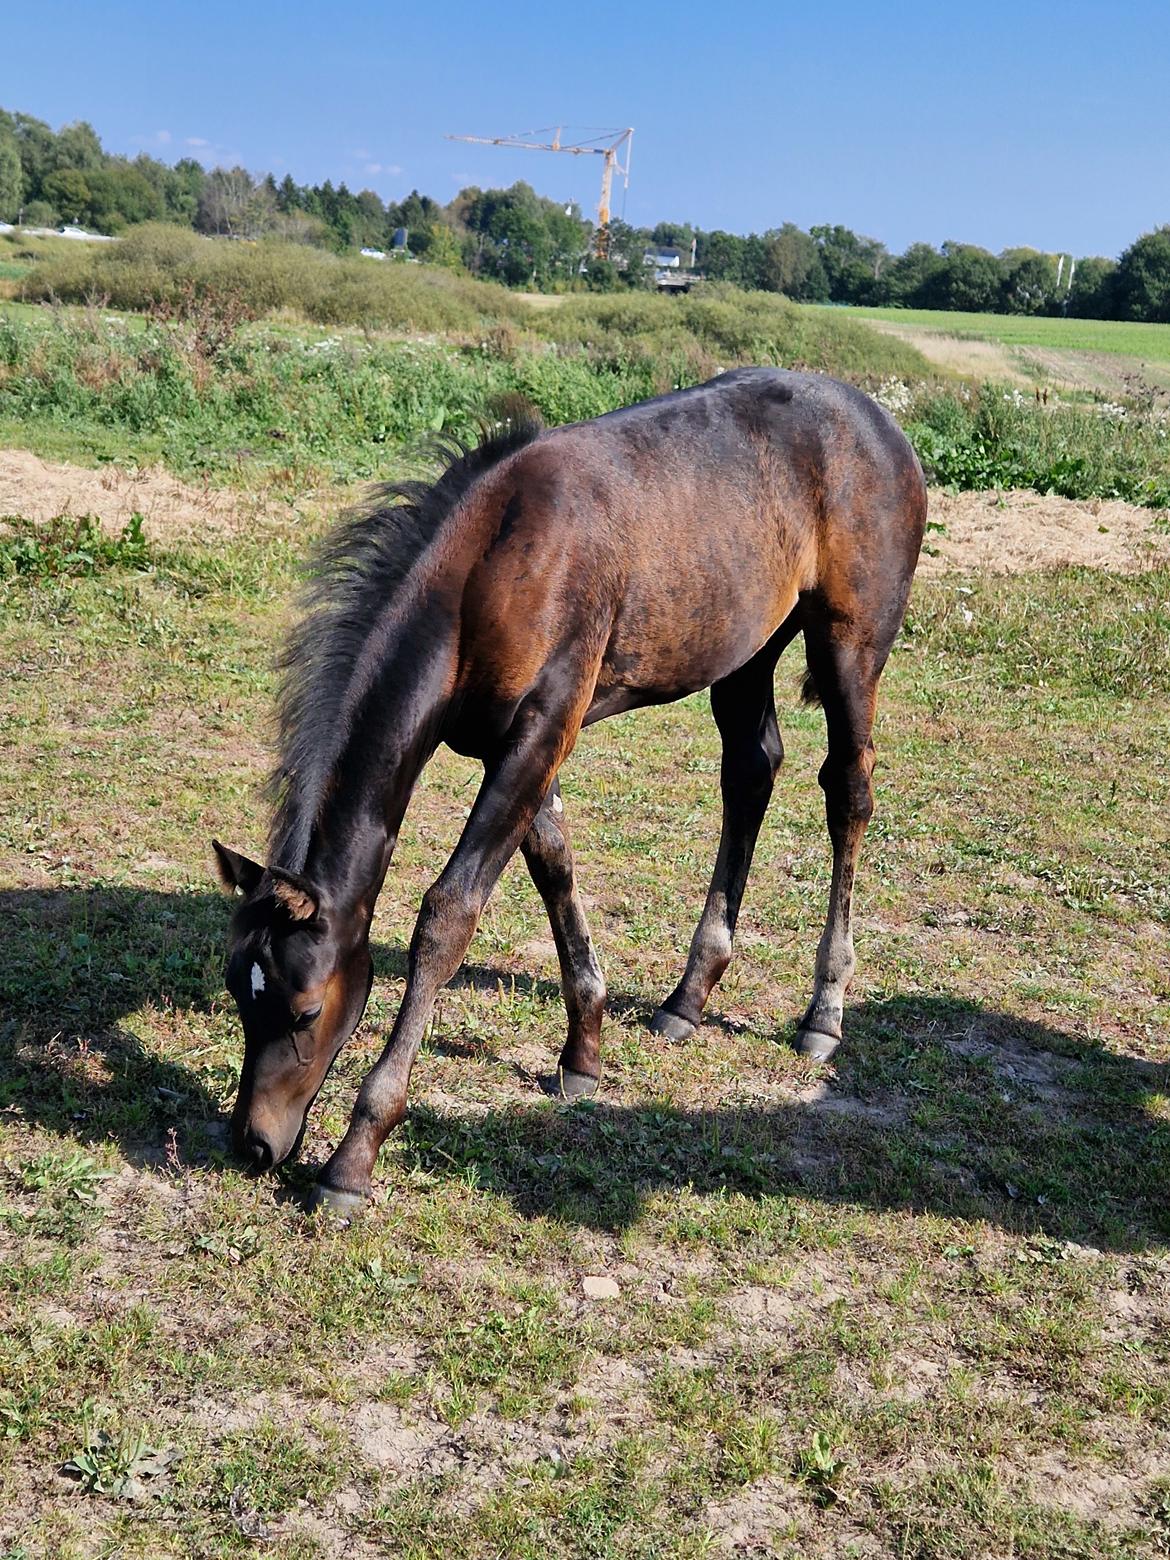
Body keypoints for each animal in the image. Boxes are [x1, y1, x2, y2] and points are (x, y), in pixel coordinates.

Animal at [215, 368, 929, 1216]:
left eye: (305, 1010)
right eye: (236, 989)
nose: (254, 1144)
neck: (489, 565)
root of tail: (882, 421)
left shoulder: (541, 728)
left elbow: (448, 916)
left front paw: (354, 1158)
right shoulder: (515, 743)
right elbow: (553, 863)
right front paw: (585, 1050)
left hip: (850, 641)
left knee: (848, 790)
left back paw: (824, 1012)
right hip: (749, 646)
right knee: (751, 770)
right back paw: (687, 998)